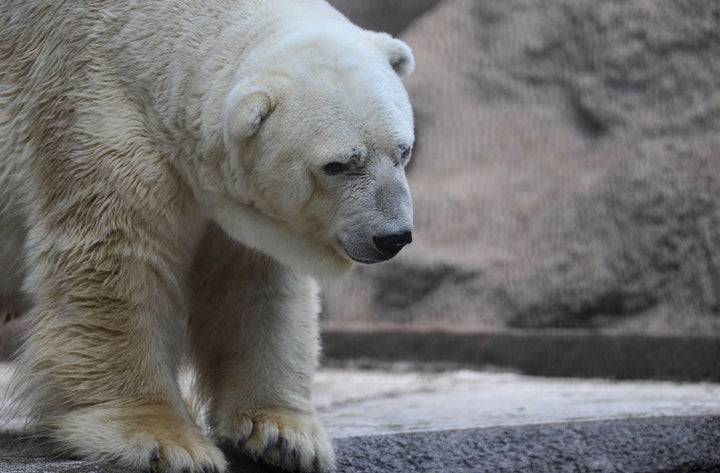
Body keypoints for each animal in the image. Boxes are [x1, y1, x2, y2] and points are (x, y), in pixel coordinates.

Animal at [0, 1, 414, 470]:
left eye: (402, 151)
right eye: (338, 165)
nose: (392, 237)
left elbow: (253, 284)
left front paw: (283, 435)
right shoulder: (96, 115)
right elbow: (116, 263)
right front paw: (166, 440)